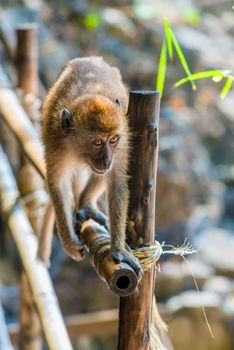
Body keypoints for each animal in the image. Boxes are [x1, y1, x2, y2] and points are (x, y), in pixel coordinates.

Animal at [39, 56, 142, 276]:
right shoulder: (56, 141)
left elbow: (117, 183)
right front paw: (68, 242)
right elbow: (58, 184)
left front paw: (118, 249)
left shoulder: (122, 143)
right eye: (97, 142)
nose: (107, 160)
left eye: (113, 140)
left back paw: (85, 203)